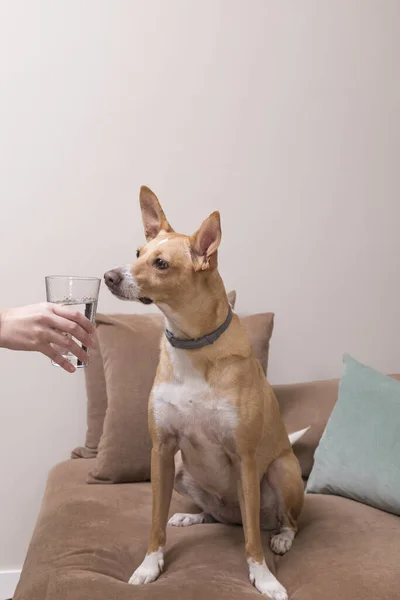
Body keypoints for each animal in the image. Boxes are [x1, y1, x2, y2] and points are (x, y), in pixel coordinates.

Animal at [104, 188, 306, 600]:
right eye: (138, 253)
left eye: (161, 264)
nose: (109, 277)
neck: (191, 344)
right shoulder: (162, 450)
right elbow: (154, 521)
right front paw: (149, 565)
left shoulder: (245, 458)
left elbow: (252, 543)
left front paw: (264, 577)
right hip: (183, 471)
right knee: (220, 517)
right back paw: (191, 516)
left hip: (281, 470)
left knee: (280, 522)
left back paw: (281, 538)